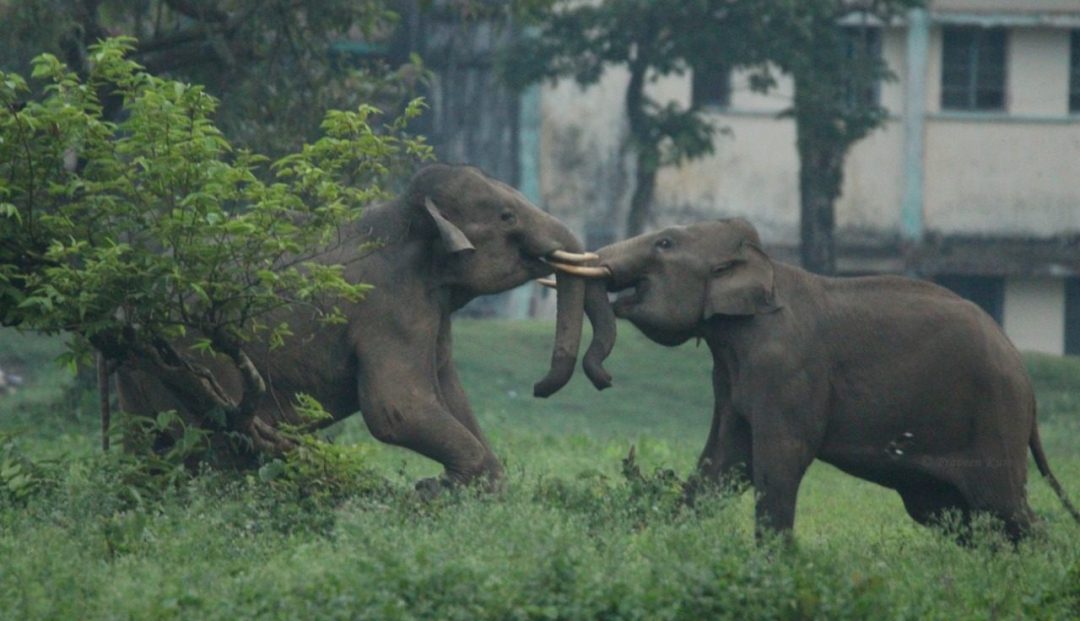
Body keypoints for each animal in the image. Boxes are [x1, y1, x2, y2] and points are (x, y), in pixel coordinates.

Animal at [117, 163, 613, 490]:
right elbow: (395, 408)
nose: (540, 388)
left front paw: (464, 487)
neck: (407, 217)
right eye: (507, 216)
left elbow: (449, 391)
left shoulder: (430, 311)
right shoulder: (389, 309)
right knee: (213, 442)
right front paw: (432, 490)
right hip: (191, 357)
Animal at [574, 218, 1080, 540]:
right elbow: (724, 464)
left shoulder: (786, 369)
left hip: (993, 418)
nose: (603, 377)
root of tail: (1025, 377)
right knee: (959, 517)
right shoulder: (731, 373)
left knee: (1005, 509)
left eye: (664, 243)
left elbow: (778, 463)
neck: (765, 268)